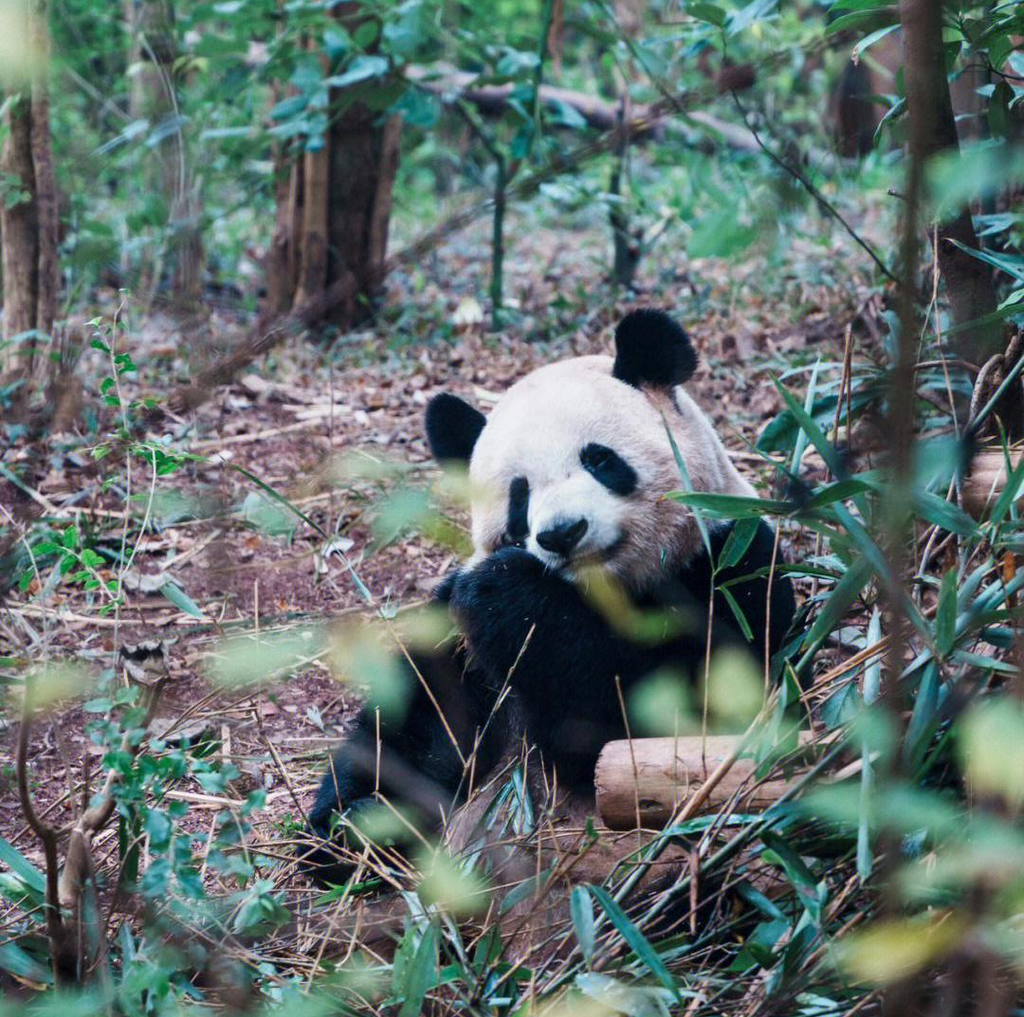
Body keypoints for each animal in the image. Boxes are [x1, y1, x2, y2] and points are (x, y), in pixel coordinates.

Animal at [306, 308, 796, 886]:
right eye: (519, 497)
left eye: (600, 461)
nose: (562, 532)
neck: (602, 592)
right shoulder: (450, 630)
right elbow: (420, 723)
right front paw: (355, 825)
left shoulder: (730, 563)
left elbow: (661, 724)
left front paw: (510, 596)